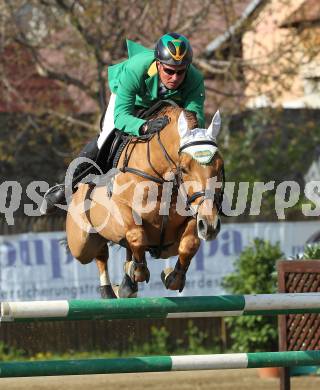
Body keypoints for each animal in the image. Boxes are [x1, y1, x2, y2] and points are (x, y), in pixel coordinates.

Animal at [65, 105, 225, 298]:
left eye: (220, 167)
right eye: (184, 169)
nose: (210, 226)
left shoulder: (194, 213)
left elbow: (189, 244)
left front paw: (171, 276)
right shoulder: (121, 210)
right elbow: (136, 235)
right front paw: (136, 271)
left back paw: (126, 286)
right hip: (81, 244)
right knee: (100, 252)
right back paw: (109, 291)